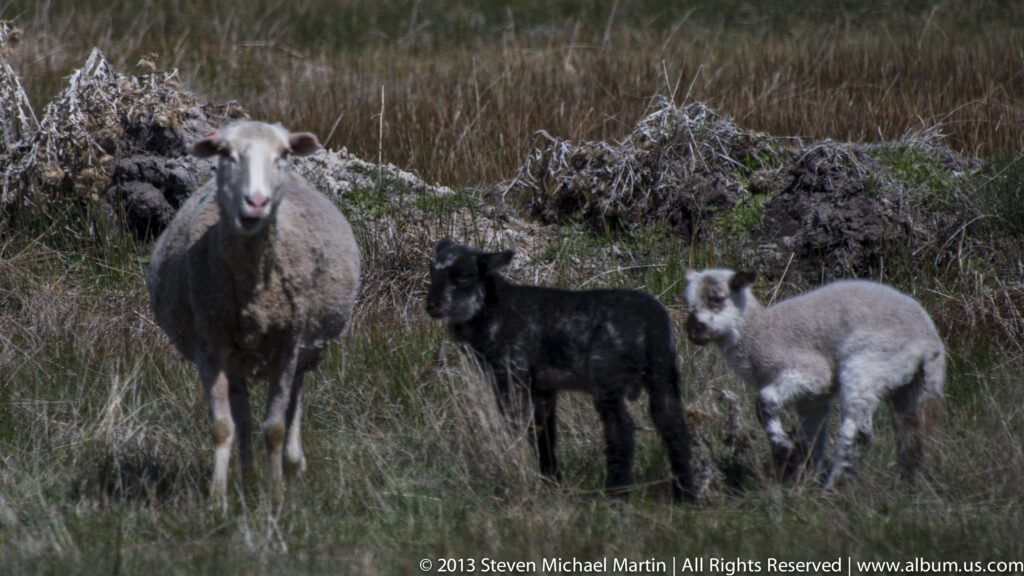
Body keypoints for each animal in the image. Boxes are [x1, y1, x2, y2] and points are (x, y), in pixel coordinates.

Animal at [146, 121, 360, 503]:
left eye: (283, 154)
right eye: (226, 154)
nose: (257, 202)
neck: (251, 291)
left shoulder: (287, 346)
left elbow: (274, 426)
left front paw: (276, 494)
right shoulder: (210, 348)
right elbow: (222, 426)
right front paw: (218, 497)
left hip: (305, 347)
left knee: (294, 399)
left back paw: (293, 461)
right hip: (236, 359)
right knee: (243, 418)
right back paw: (246, 476)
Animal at [426, 239, 695, 501]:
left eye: (465, 276)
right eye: (432, 271)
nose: (432, 306)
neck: (492, 311)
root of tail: (651, 323)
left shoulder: (511, 372)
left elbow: (513, 424)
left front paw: (514, 463)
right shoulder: (543, 388)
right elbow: (543, 434)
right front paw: (552, 481)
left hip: (607, 374)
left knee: (622, 428)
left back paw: (616, 494)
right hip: (663, 370)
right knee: (673, 424)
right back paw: (685, 494)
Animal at [683, 269, 945, 491]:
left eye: (717, 299)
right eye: (688, 303)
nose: (693, 330)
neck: (760, 334)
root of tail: (928, 342)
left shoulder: (811, 374)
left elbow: (764, 402)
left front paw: (783, 450)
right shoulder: (813, 398)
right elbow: (812, 439)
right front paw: (804, 475)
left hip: (868, 363)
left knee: (859, 433)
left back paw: (833, 489)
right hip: (908, 384)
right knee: (910, 434)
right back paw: (904, 485)